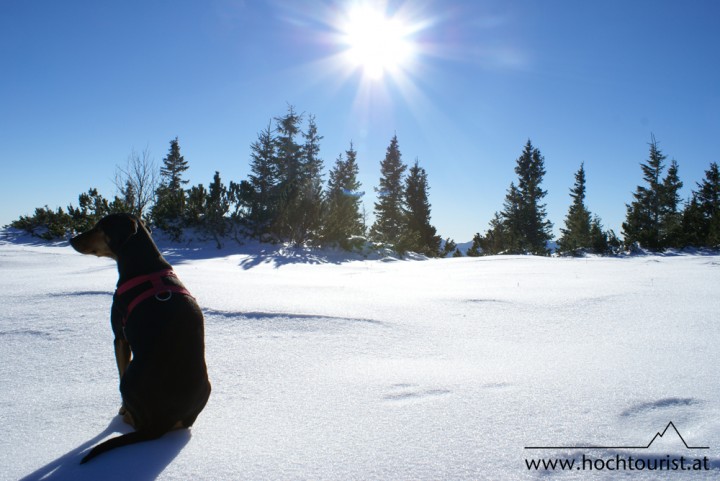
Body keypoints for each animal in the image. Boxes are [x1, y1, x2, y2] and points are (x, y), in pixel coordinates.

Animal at [70, 213, 210, 462]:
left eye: (99, 227)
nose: (71, 239)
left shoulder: (119, 337)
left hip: (128, 381)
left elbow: (120, 366)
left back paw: (125, 418)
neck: (146, 266)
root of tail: (160, 424)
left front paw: (121, 409)